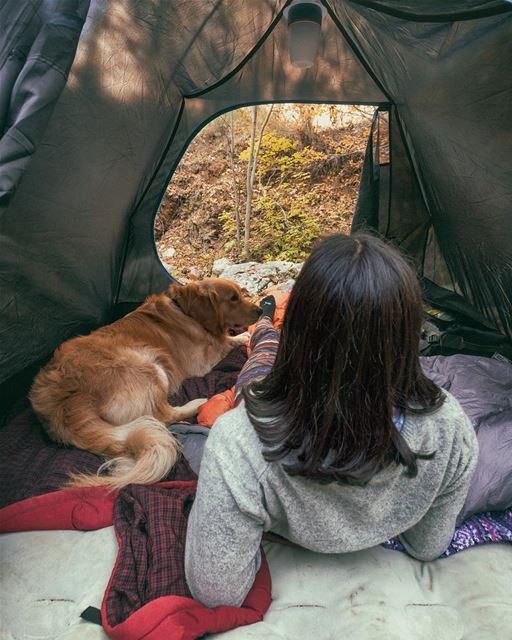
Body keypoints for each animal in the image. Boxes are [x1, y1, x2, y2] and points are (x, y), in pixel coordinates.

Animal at [28, 278, 262, 492]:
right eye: (233, 298)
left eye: (240, 293)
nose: (260, 310)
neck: (186, 311)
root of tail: (68, 401)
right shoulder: (202, 362)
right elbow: (226, 343)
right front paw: (243, 336)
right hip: (149, 364)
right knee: (164, 415)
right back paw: (195, 404)